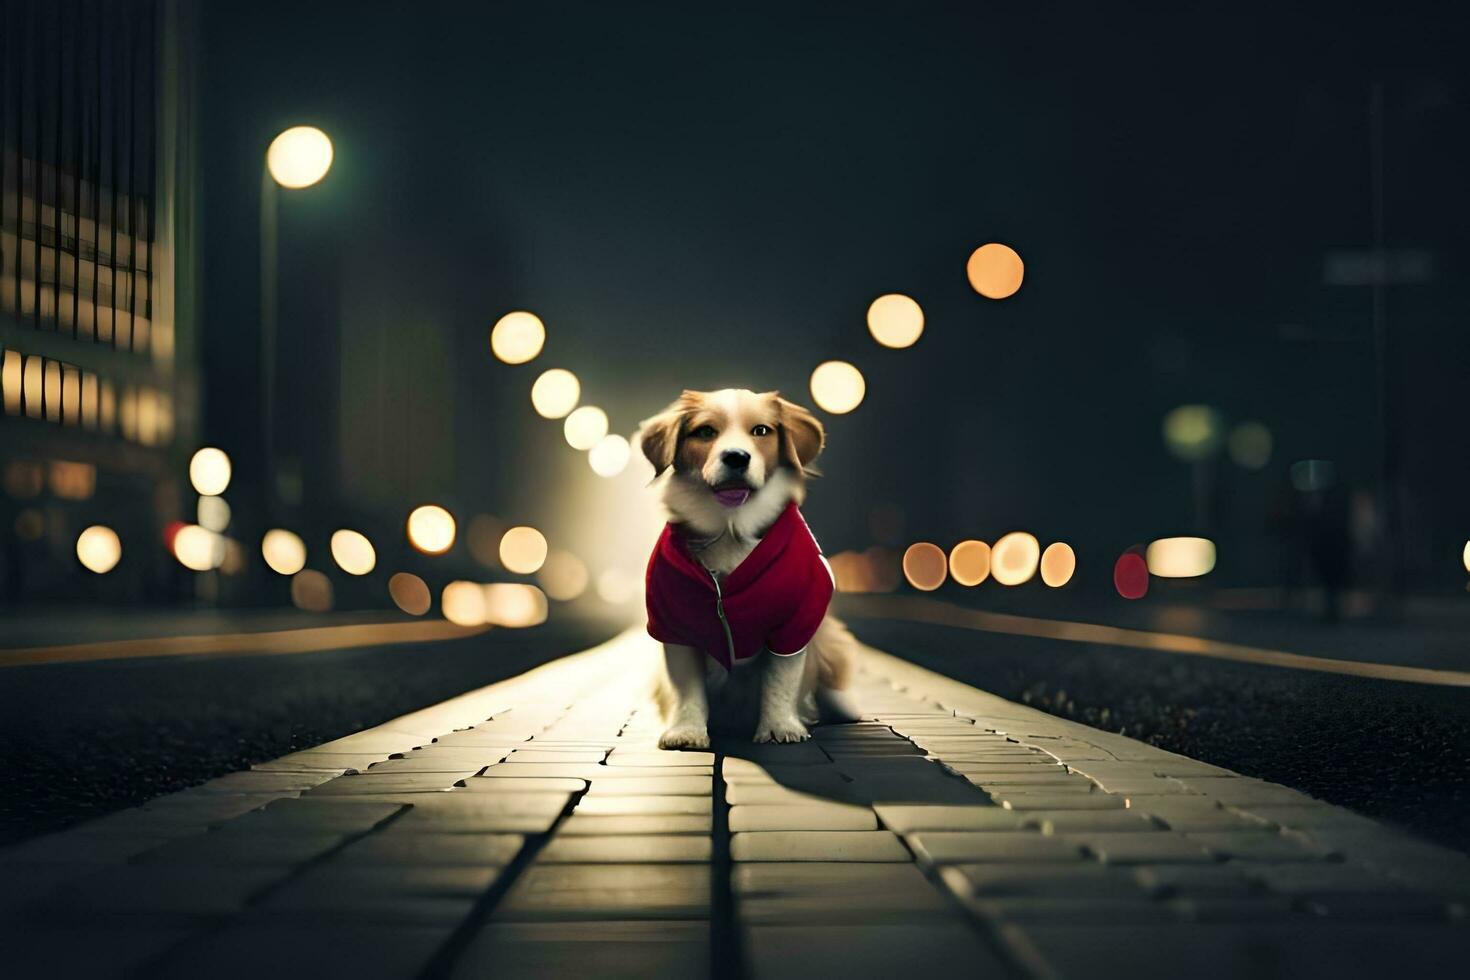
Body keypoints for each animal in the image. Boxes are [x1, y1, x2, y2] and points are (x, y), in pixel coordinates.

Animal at [635, 387, 858, 746]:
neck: (731, 527)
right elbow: (687, 689)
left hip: (832, 641)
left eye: (761, 431)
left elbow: (780, 681)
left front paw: (779, 727)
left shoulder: (796, 622)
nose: (737, 457)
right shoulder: (674, 626)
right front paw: (687, 731)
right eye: (705, 432)